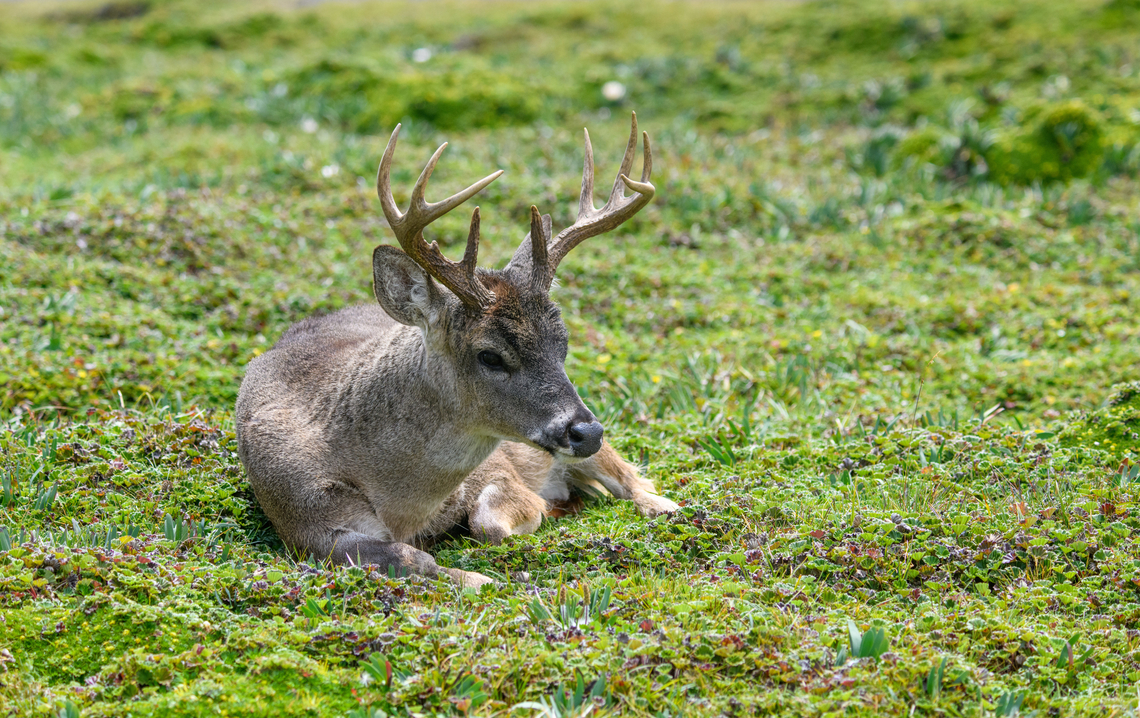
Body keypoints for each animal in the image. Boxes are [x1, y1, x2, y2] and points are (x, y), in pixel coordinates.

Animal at [235, 113, 678, 588]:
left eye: (563, 344)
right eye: (490, 355)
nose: (586, 431)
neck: (402, 506)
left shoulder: (500, 469)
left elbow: (490, 521)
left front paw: (539, 521)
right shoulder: (302, 518)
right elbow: (409, 557)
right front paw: (482, 579)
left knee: (638, 483)